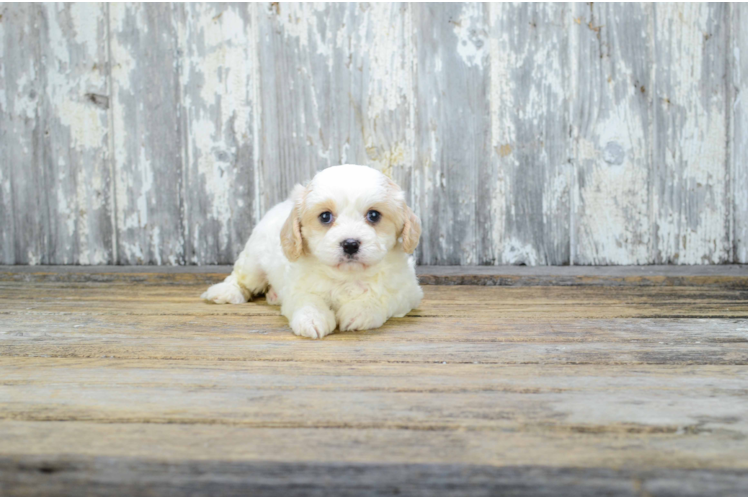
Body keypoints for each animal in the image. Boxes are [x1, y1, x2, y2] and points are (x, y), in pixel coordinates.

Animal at [202, 164, 424, 340]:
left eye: (374, 215)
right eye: (325, 216)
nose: (350, 244)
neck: (346, 277)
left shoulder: (407, 292)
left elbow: (381, 297)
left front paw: (359, 312)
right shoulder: (299, 288)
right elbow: (309, 301)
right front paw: (312, 320)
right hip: (253, 260)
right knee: (241, 278)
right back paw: (227, 291)